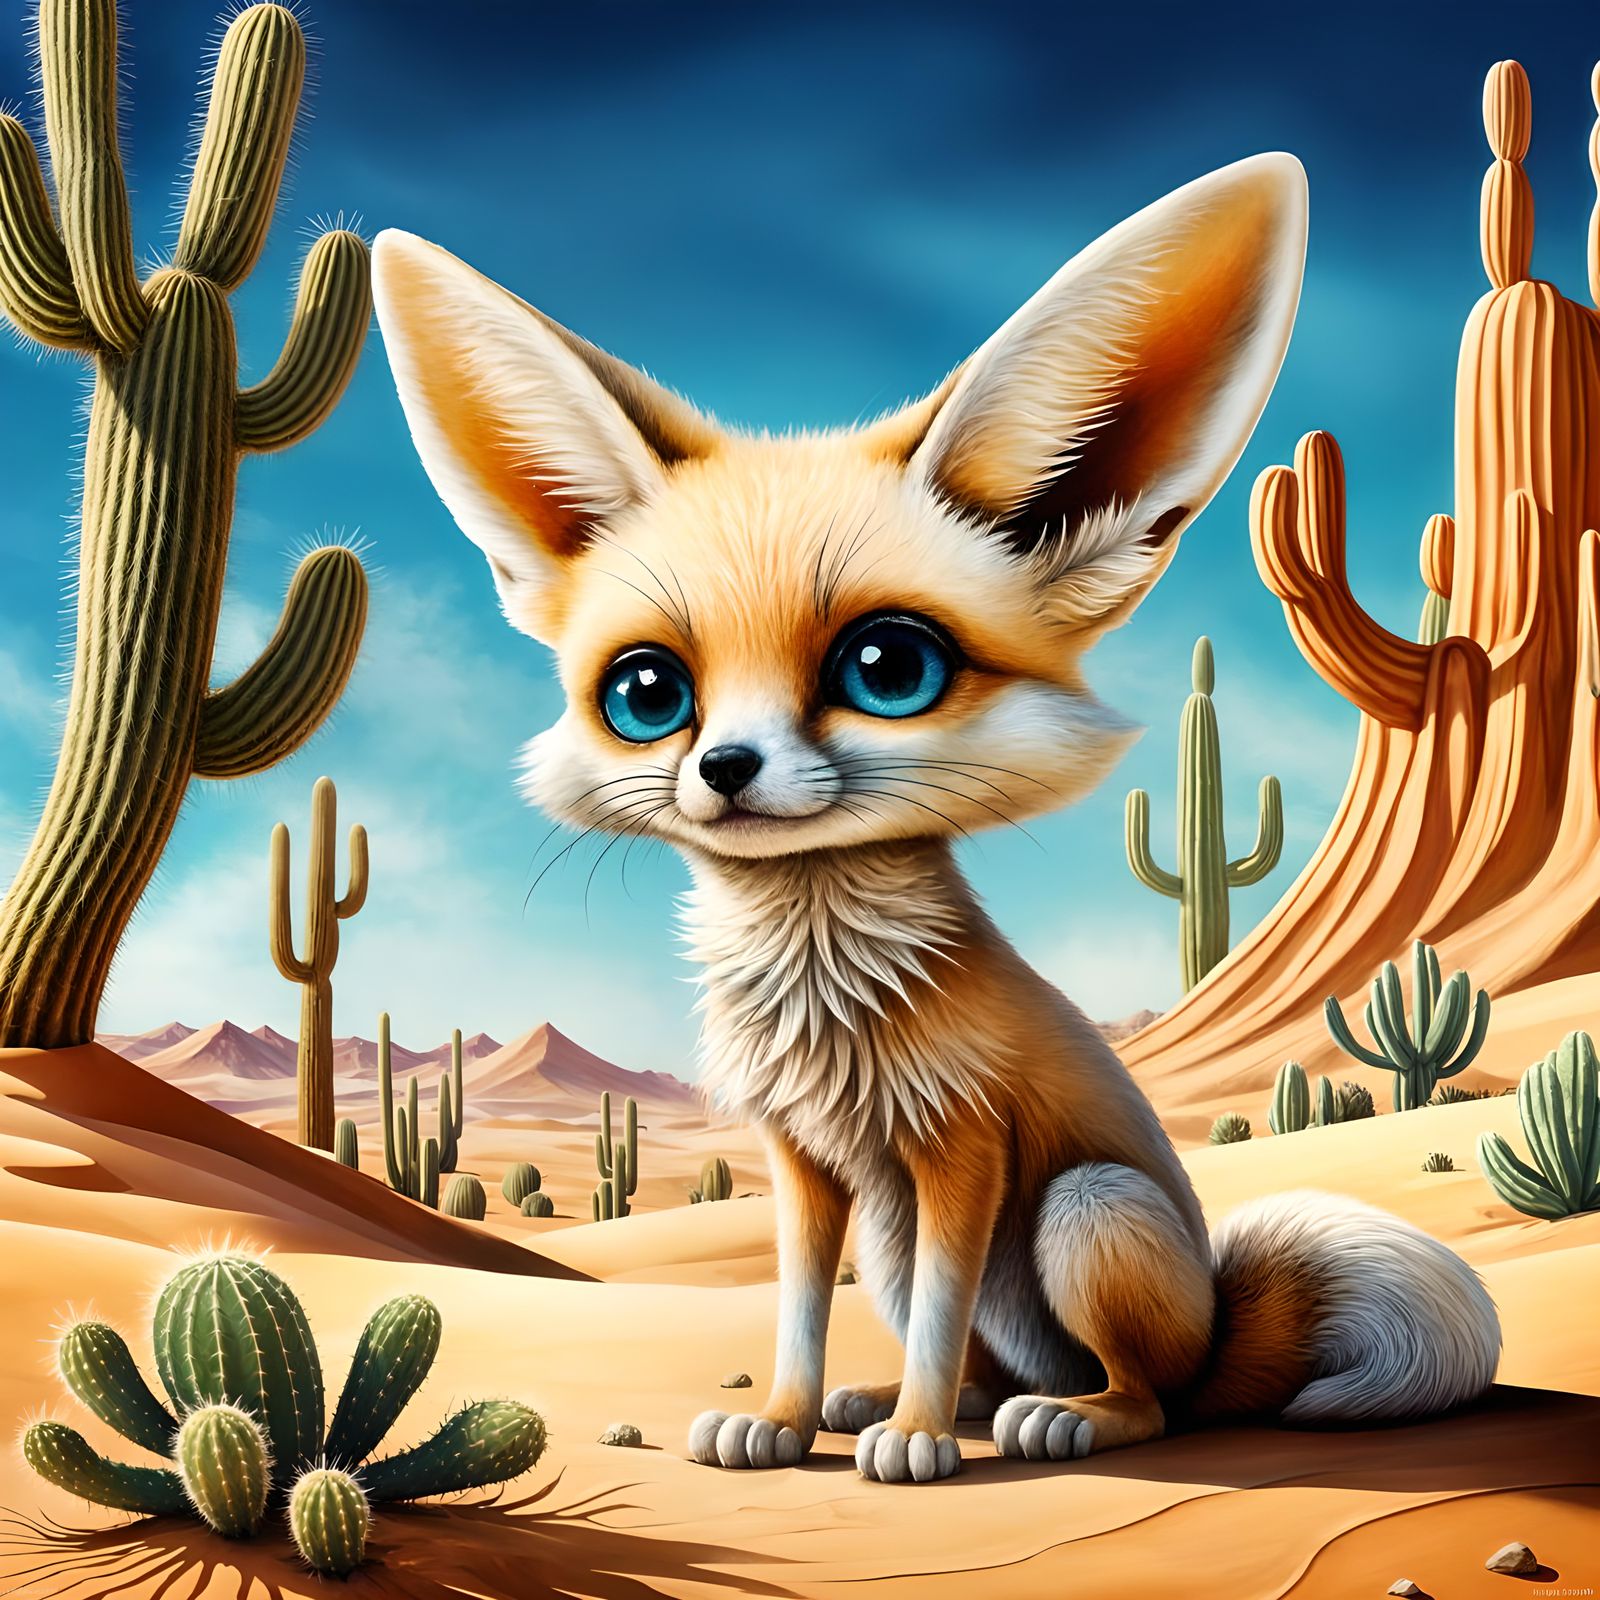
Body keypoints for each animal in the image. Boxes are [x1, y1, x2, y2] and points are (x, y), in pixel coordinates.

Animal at [370, 153, 1500, 1485]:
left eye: (888, 668)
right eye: (646, 693)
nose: (726, 766)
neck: (825, 993)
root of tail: (1215, 1335)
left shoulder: (963, 1148)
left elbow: (939, 1301)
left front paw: (909, 1440)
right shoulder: (806, 1160)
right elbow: (797, 1308)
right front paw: (788, 1417)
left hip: (1083, 1207)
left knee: (1143, 1399)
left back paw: (1051, 1416)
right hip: (900, 1238)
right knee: (976, 1357)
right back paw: (905, 1403)